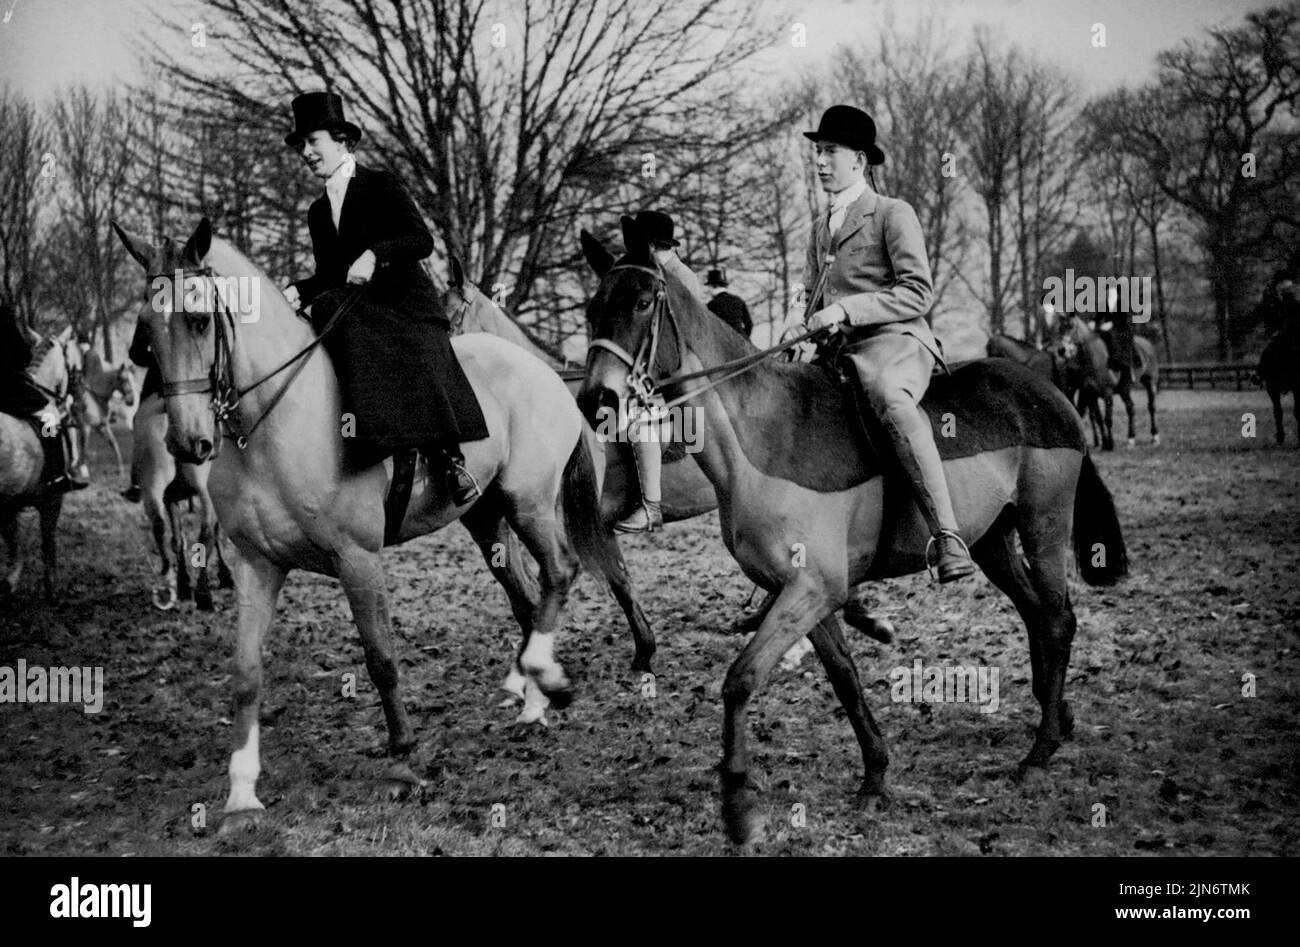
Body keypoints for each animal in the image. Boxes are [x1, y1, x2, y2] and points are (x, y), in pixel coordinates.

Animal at [0, 325, 79, 598]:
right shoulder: (52, 500)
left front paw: (10, 582)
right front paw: (51, 588)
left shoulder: (10, 504)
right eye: (73, 365)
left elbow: (14, 543)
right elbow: (47, 544)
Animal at [114, 218, 631, 832]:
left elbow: (381, 657)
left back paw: (544, 677)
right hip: (487, 518)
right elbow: (245, 674)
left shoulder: (357, 558)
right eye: (147, 332)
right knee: (528, 597)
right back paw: (532, 705)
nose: (186, 443)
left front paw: (403, 759)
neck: (271, 422)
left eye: (197, 319)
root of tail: (545, 371)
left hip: (527, 502)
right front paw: (241, 795)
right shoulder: (256, 566)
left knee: (560, 571)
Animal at [579, 222, 1128, 842]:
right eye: (592, 309)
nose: (596, 401)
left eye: (643, 302)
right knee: (1036, 615)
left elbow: (740, 679)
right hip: (993, 541)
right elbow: (844, 676)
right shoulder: (802, 592)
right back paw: (1056, 719)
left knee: (1057, 619)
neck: (761, 439)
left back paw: (1038, 752)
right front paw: (875, 777)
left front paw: (738, 804)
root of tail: (1046, 392)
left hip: (1044, 524)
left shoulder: (812, 588)